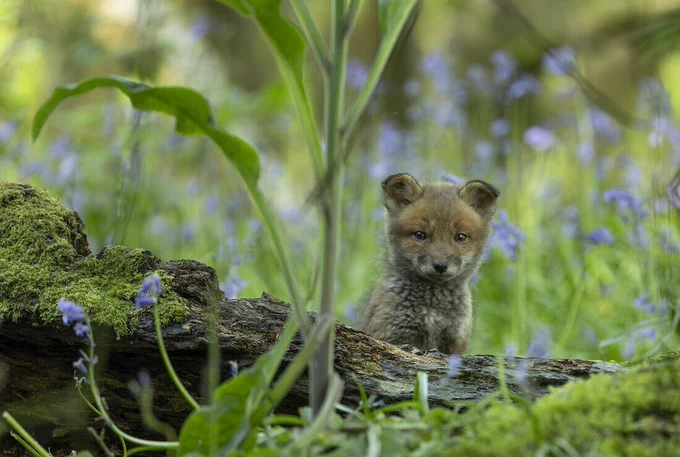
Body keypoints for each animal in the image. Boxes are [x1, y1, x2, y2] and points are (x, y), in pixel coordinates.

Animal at [359, 173, 499, 355]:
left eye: (460, 237)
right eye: (420, 235)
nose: (440, 266)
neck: (432, 311)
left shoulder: (455, 342)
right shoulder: (393, 335)